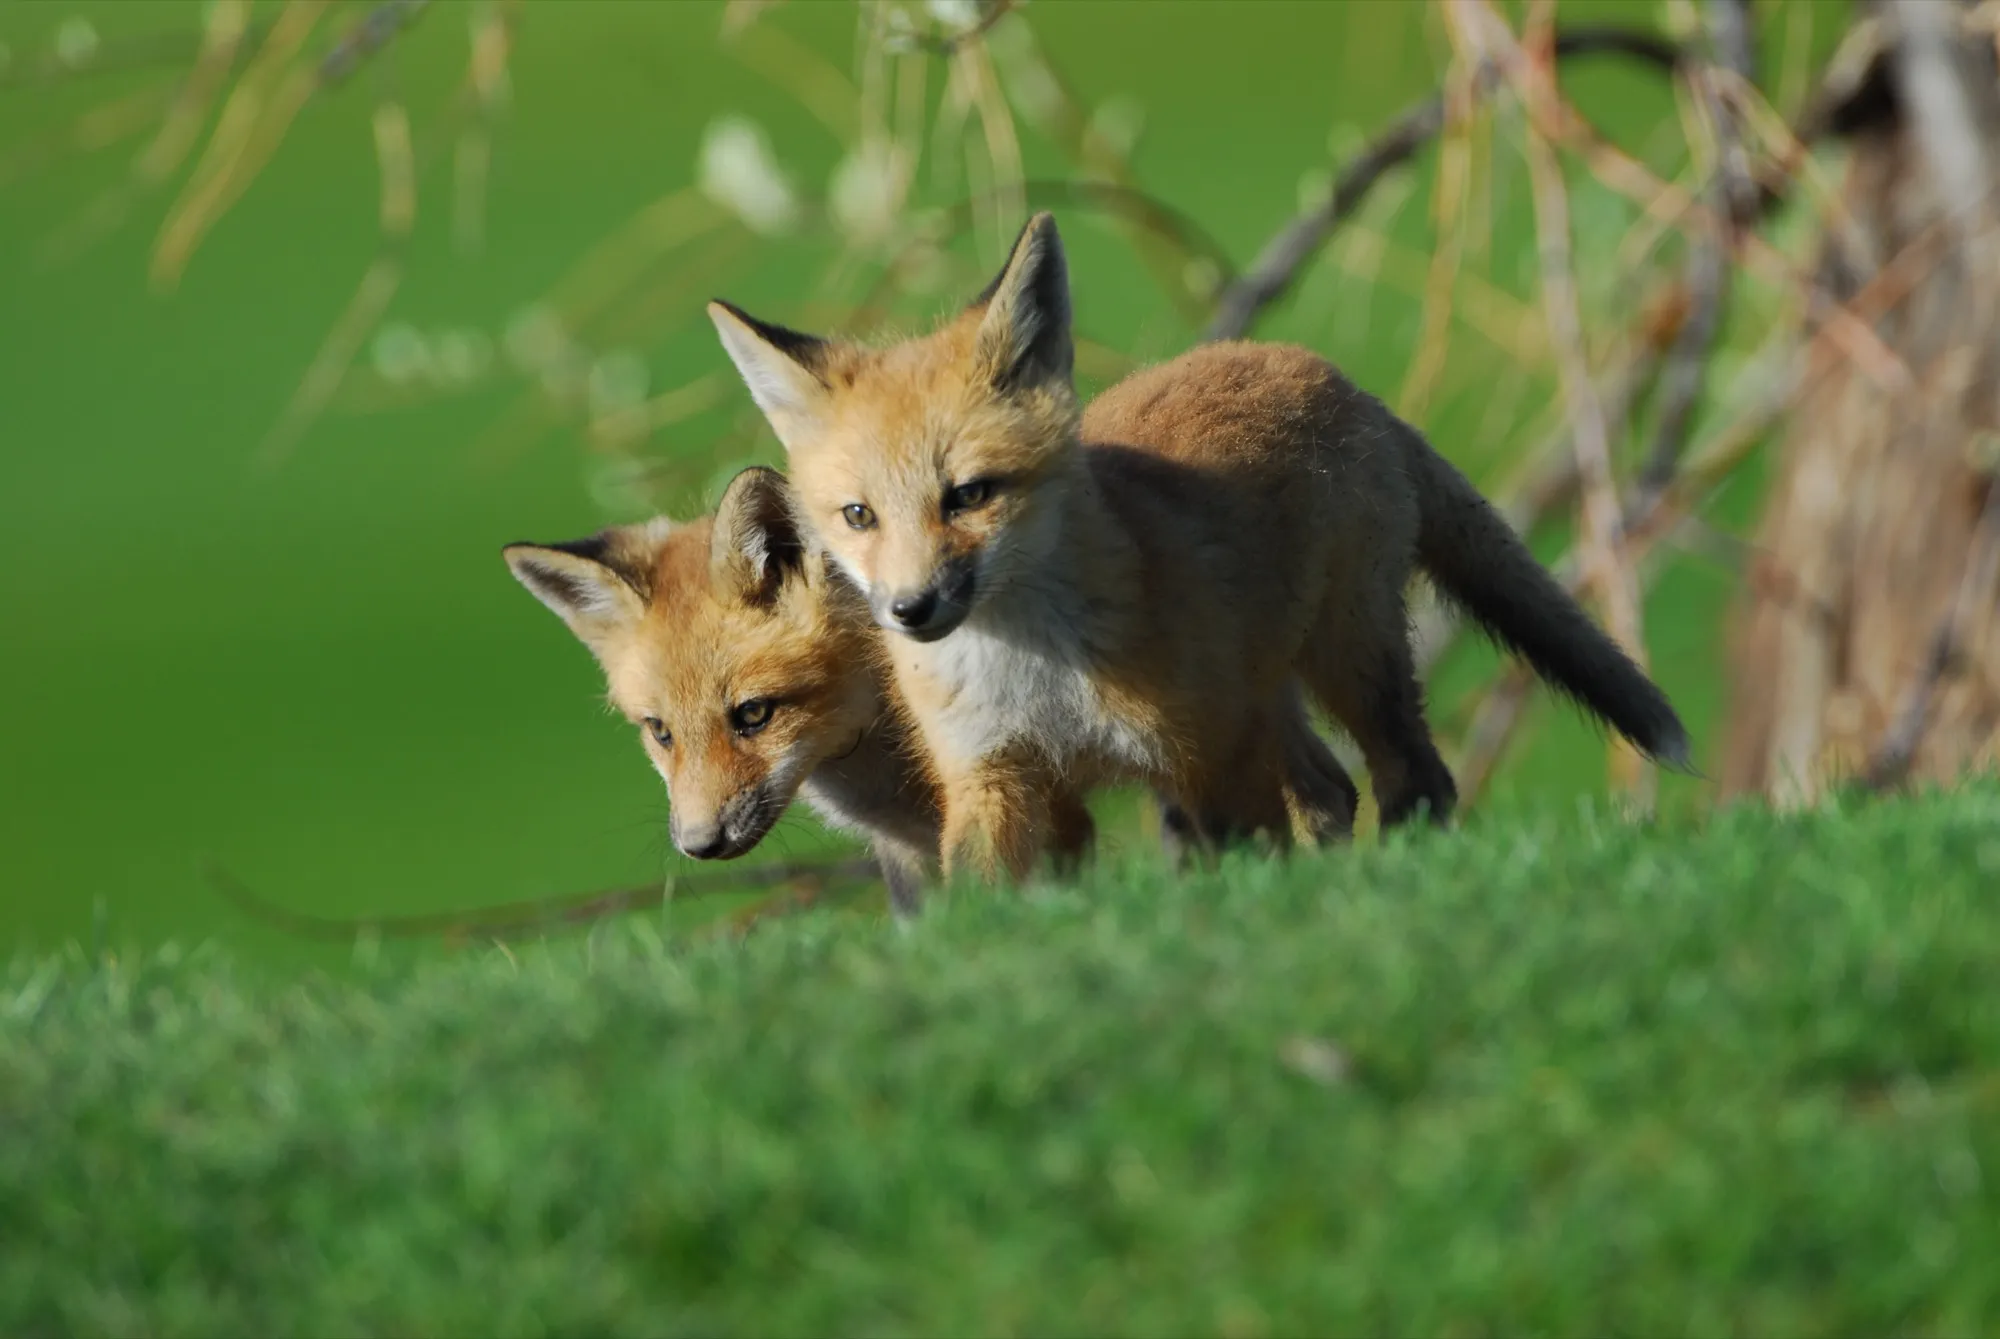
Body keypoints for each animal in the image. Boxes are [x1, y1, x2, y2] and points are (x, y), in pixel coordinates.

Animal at [502, 466, 1357, 915]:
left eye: (752, 714)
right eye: (660, 732)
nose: (698, 845)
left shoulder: (1044, 808)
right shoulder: (907, 850)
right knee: (1328, 790)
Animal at [706, 211, 1692, 881]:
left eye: (970, 495)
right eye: (857, 516)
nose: (911, 611)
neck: (1035, 672)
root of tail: (1327, 372)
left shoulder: (1207, 754)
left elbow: (1243, 862)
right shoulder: (996, 776)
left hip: (1347, 656)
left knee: (1412, 778)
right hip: (1272, 692)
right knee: (1331, 789)